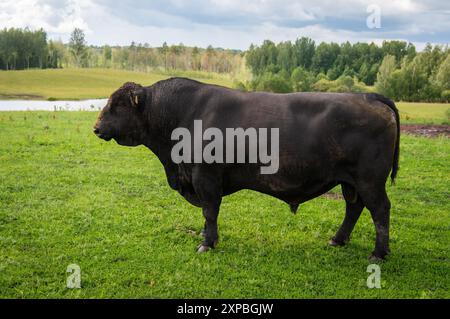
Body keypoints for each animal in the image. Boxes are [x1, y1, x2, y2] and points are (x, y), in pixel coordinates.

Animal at [95, 79, 400, 262]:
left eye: (118, 104)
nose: (96, 127)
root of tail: (368, 96)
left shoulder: (205, 177)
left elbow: (210, 211)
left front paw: (207, 243)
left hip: (370, 181)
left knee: (380, 210)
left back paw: (378, 253)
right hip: (351, 182)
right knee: (354, 208)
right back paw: (338, 239)